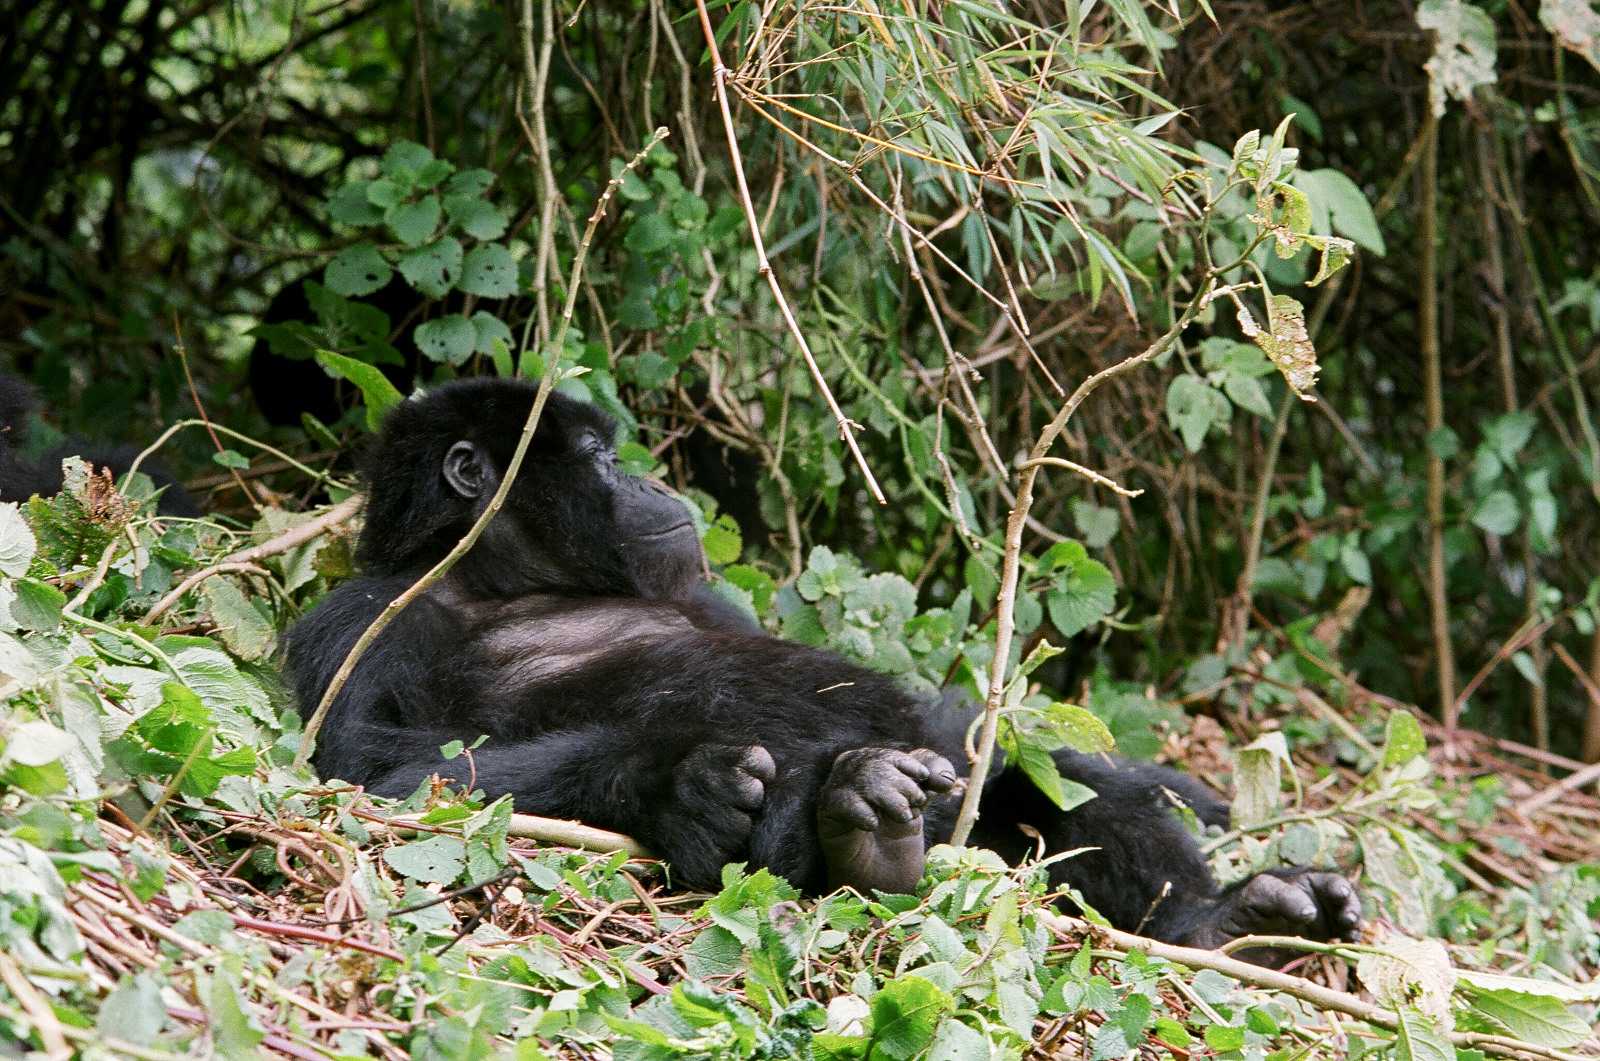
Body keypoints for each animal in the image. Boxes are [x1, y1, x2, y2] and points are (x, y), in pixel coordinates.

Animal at [291, 377, 1363, 947]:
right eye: (599, 459)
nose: (654, 483)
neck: (503, 578)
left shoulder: (696, 589)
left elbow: (972, 734)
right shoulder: (361, 622)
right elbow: (380, 778)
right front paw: (676, 781)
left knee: (1043, 788)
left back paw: (1222, 923)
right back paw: (857, 833)